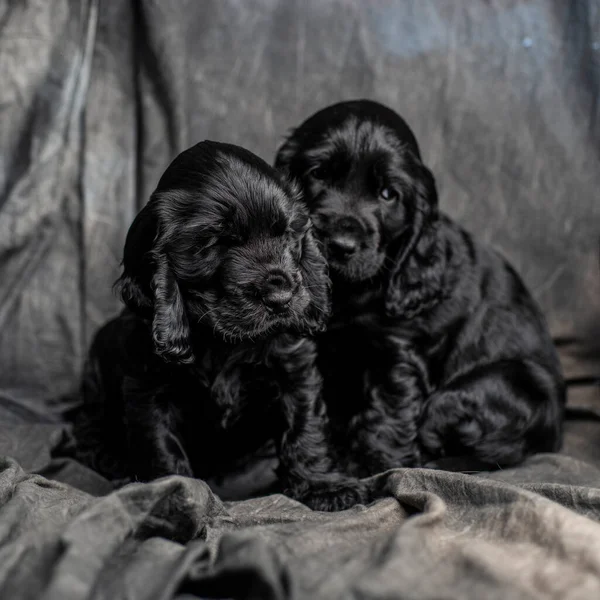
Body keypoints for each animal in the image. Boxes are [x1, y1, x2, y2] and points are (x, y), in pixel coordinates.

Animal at [72, 141, 368, 510]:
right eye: (215, 243)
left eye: (287, 233)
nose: (281, 296)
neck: (221, 340)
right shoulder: (148, 387)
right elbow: (160, 445)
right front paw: (172, 492)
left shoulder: (294, 367)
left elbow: (304, 427)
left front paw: (323, 485)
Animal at [276, 102, 568, 478]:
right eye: (319, 173)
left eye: (388, 194)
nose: (341, 244)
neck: (348, 293)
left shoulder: (398, 352)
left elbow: (390, 408)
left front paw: (378, 464)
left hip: (477, 393)